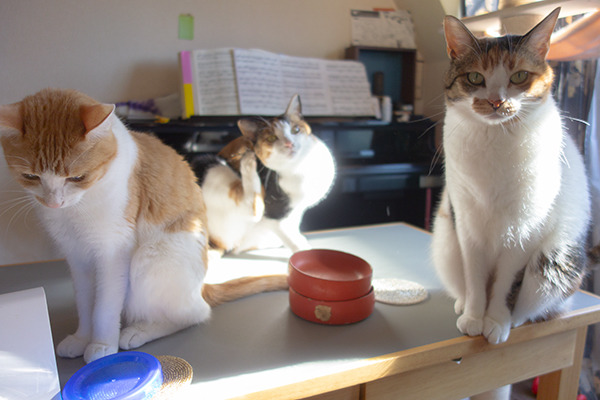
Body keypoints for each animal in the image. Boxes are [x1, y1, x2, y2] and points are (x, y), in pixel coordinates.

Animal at [0, 88, 287, 364]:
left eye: (77, 178)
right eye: (30, 176)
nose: (53, 202)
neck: (75, 210)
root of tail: (202, 287)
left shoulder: (113, 251)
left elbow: (104, 307)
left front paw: (101, 345)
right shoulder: (76, 256)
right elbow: (84, 303)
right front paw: (82, 339)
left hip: (150, 258)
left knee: (194, 314)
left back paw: (138, 331)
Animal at [193, 94, 335, 254]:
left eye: (296, 129)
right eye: (272, 138)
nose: (289, 144)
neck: (299, 166)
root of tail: (215, 244)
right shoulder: (275, 215)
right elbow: (288, 236)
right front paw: (304, 252)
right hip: (208, 162)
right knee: (251, 208)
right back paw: (247, 161)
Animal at [432, 6, 591, 349]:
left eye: (519, 76)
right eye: (474, 77)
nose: (495, 101)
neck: (495, 141)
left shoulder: (527, 228)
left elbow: (508, 282)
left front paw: (495, 320)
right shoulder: (466, 221)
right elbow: (475, 275)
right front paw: (474, 315)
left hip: (555, 261)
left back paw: (517, 319)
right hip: (446, 241)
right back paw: (463, 304)